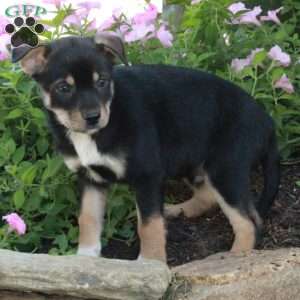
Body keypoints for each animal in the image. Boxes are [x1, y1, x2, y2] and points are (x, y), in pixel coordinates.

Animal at [11, 32, 278, 262]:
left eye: (102, 82)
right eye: (64, 88)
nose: (94, 117)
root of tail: (267, 121)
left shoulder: (147, 176)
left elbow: (148, 225)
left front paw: (150, 263)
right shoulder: (90, 178)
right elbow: (87, 218)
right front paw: (86, 258)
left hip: (224, 169)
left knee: (249, 222)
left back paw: (235, 257)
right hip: (190, 160)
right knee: (208, 197)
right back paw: (177, 210)